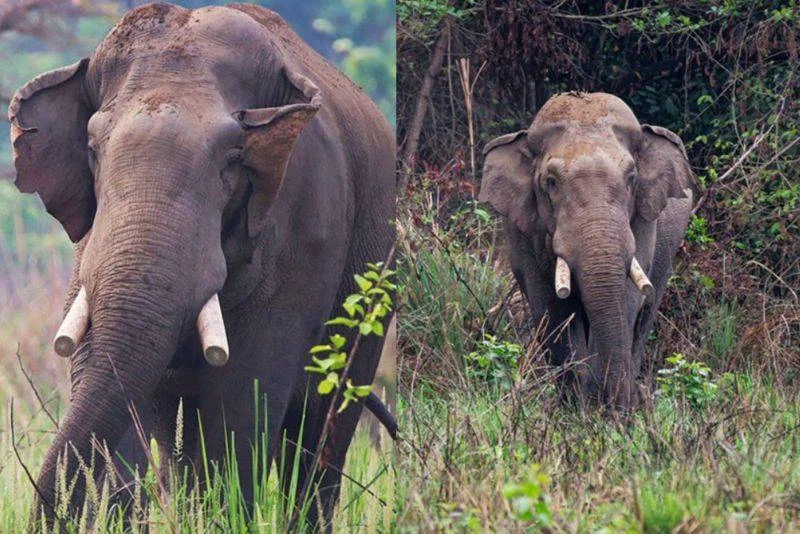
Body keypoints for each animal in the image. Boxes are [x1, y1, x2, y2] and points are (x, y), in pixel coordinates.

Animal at [479, 92, 696, 410]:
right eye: (551, 182)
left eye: (632, 179)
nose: (621, 405)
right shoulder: (525, 230)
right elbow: (551, 307)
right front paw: (575, 406)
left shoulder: (643, 221)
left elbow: (626, 299)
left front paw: (607, 407)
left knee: (644, 315)